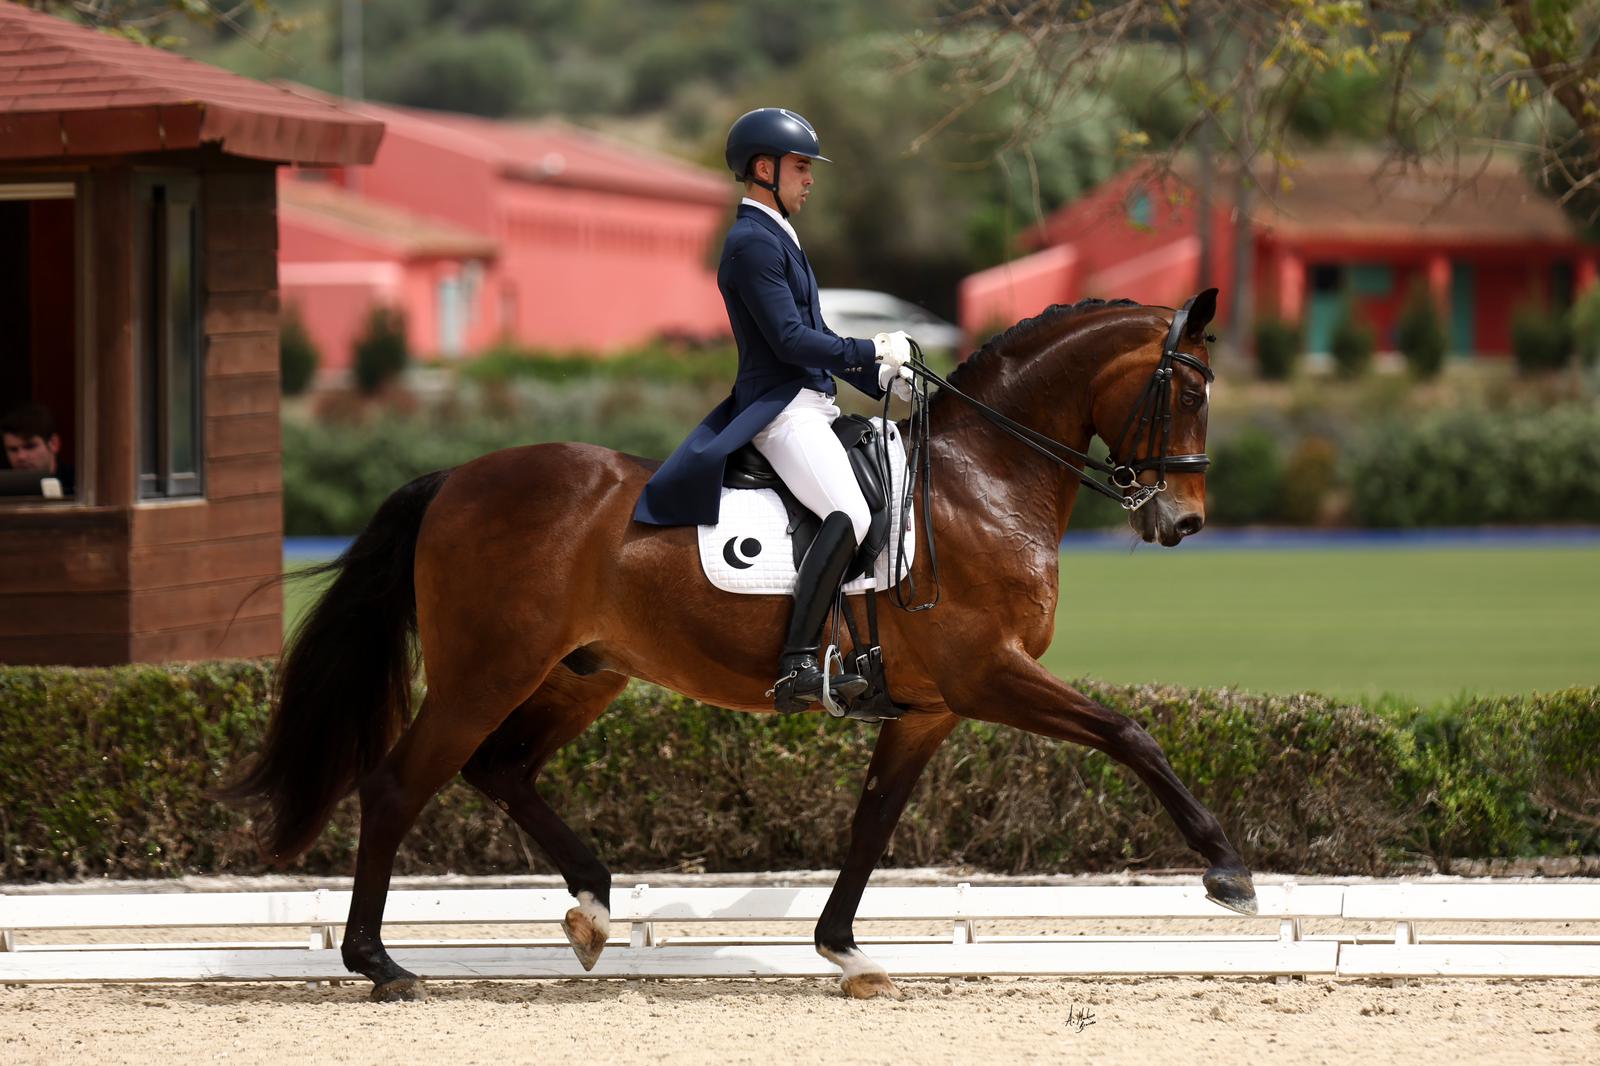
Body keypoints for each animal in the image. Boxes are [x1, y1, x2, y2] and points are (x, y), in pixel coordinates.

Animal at [225, 288, 1254, 998]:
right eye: (1189, 390)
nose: (1184, 521)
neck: (980, 481)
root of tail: (454, 480)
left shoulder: (928, 709)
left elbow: (872, 825)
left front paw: (844, 951)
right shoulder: (990, 674)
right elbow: (1130, 734)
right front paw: (1227, 869)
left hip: (578, 675)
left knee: (499, 770)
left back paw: (592, 908)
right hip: (488, 673)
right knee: (400, 785)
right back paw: (379, 963)